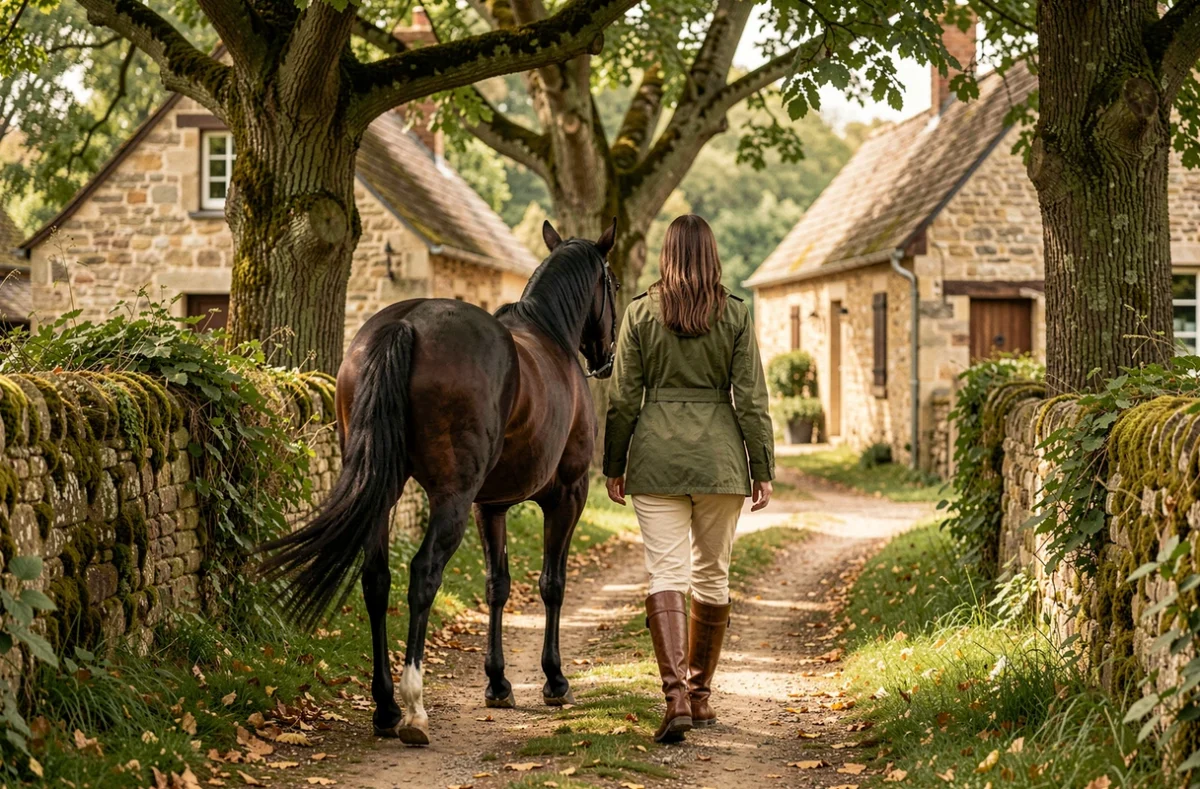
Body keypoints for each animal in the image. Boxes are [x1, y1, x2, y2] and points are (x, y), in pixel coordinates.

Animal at [259, 220, 619, 745]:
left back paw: (386, 707)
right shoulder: (566, 495)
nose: (606, 357)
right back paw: (413, 708)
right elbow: (552, 583)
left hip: (383, 494)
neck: (549, 336)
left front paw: (498, 683)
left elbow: (497, 585)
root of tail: (407, 323)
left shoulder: (490, 505)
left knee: (376, 579)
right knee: (423, 573)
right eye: (612, 284)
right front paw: (554, 679)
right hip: (451, 499)